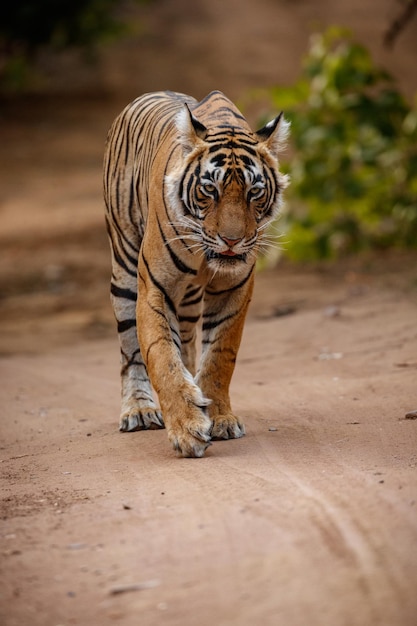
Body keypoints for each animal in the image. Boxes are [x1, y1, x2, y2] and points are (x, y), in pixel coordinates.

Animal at [102, 88, 288, 456]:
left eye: (254, 192)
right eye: (209, 190)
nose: (232, 240)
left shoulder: (234, 288)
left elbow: (219, 356)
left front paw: (218, 418)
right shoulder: (154, 288)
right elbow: (161, 356)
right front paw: (187, 428)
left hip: (186, 299)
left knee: (187, 342)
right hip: (125, 267)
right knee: (130, 350)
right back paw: (139, 410)